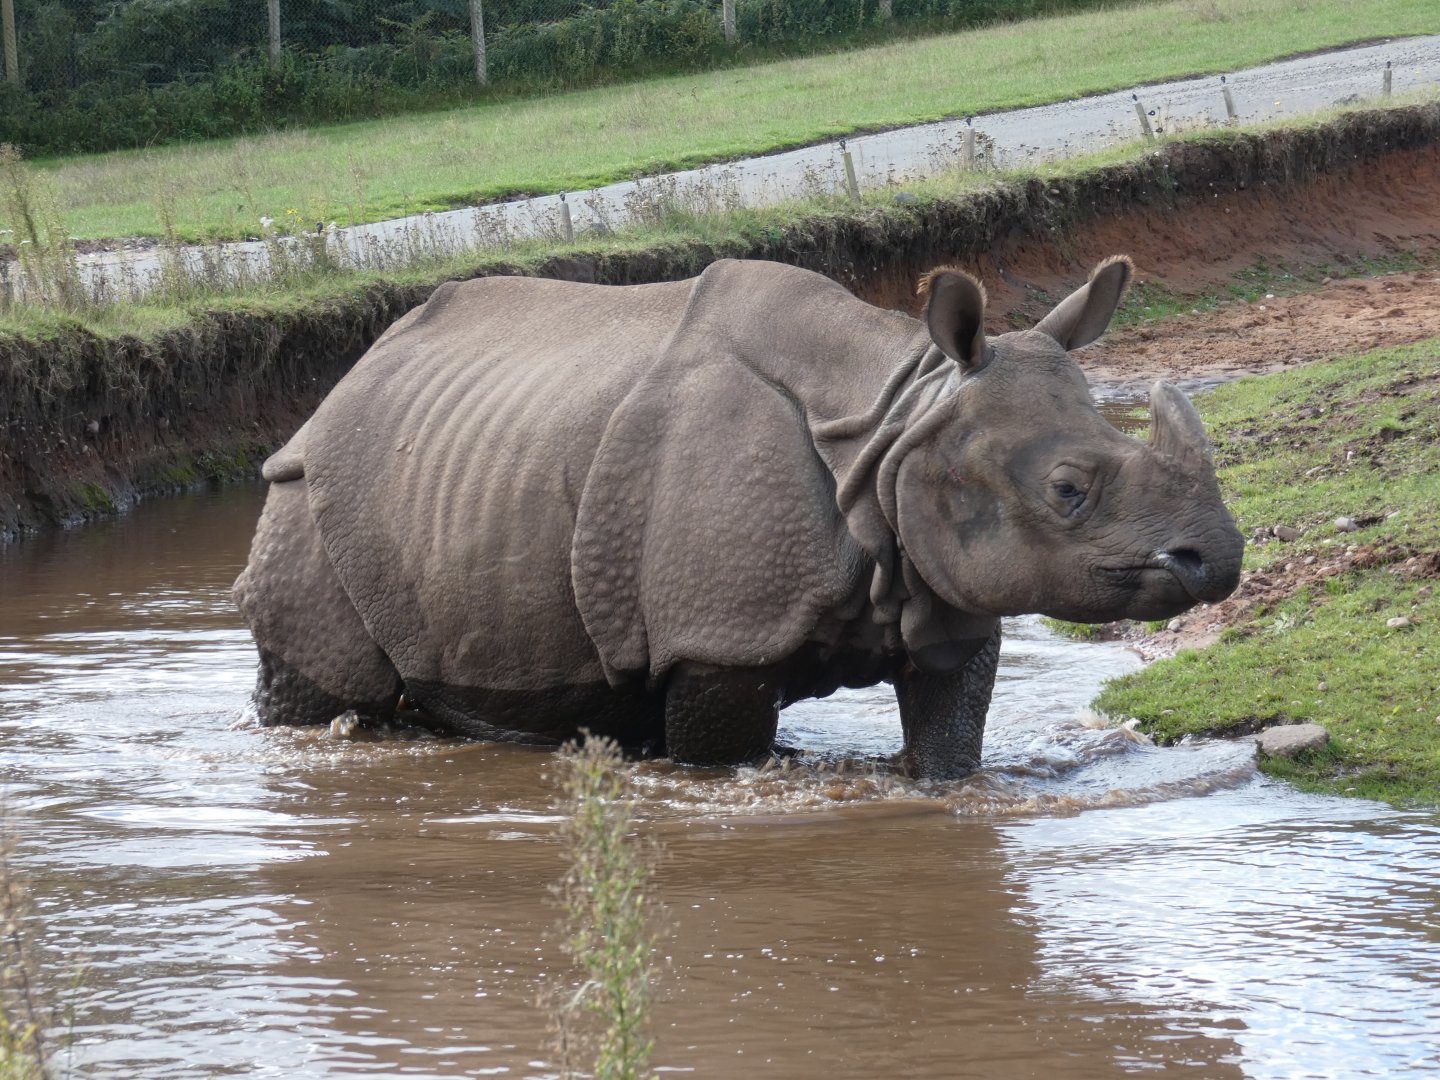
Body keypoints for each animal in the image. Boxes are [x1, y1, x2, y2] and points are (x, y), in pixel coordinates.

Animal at [233, 256, 1242, 778]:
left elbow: (950, 740)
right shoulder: (717, 634)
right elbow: (721, 756)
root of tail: (341, 382)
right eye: (1068, 490)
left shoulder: (944, 592)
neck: (897, 422)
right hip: (305, 499)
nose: (1220, 559)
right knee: (327, 684)